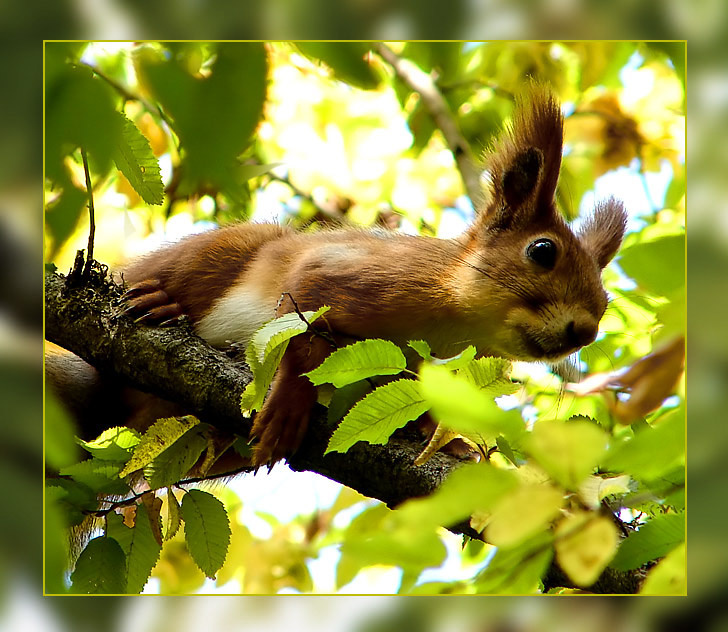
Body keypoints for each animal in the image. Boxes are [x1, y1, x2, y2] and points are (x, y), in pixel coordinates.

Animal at [48, 85, 627, 469]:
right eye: (542, 250)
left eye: (605, 301)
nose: (584, 331)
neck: (452, 324)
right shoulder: (359, 275)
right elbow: (304, 323)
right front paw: (290, 404)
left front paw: (449, 442)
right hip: (217, 254)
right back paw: (160, 302)